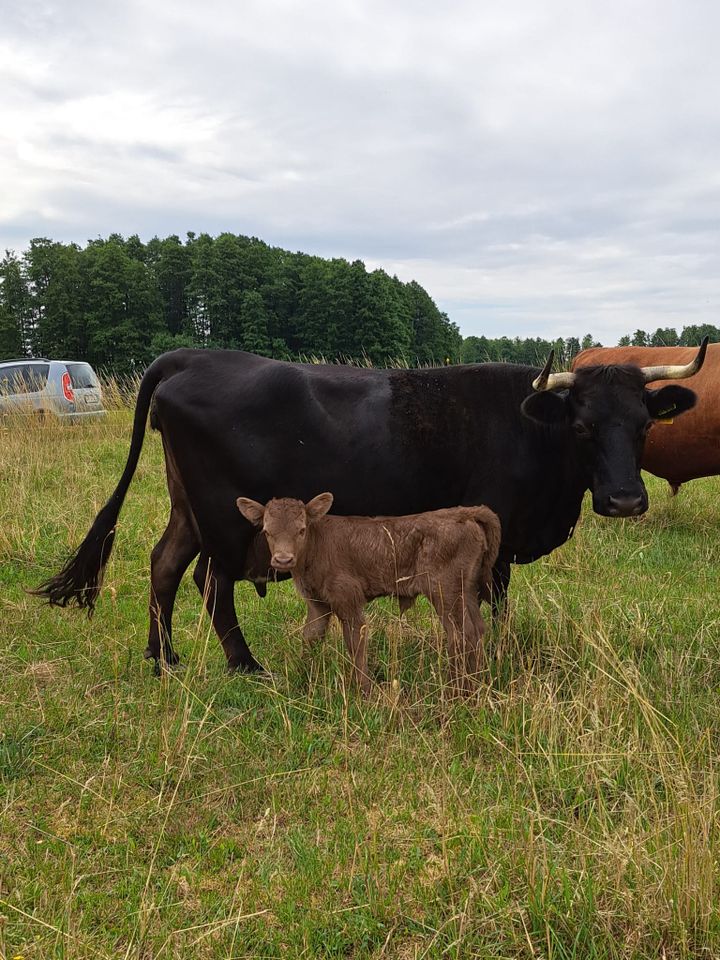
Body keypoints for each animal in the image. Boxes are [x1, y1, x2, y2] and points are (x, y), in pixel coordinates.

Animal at [35, 342, 708, 672]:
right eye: (584, 427)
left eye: (644, 425)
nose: (625, 499)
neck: (530, 426)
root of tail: (192, 357)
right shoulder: (492, 532)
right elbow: (491, 600)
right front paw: (491, 658)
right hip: (226, 517)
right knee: (211, 583)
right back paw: (245, 664)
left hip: (188, 511)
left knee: (165, 565)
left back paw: (163, 657)